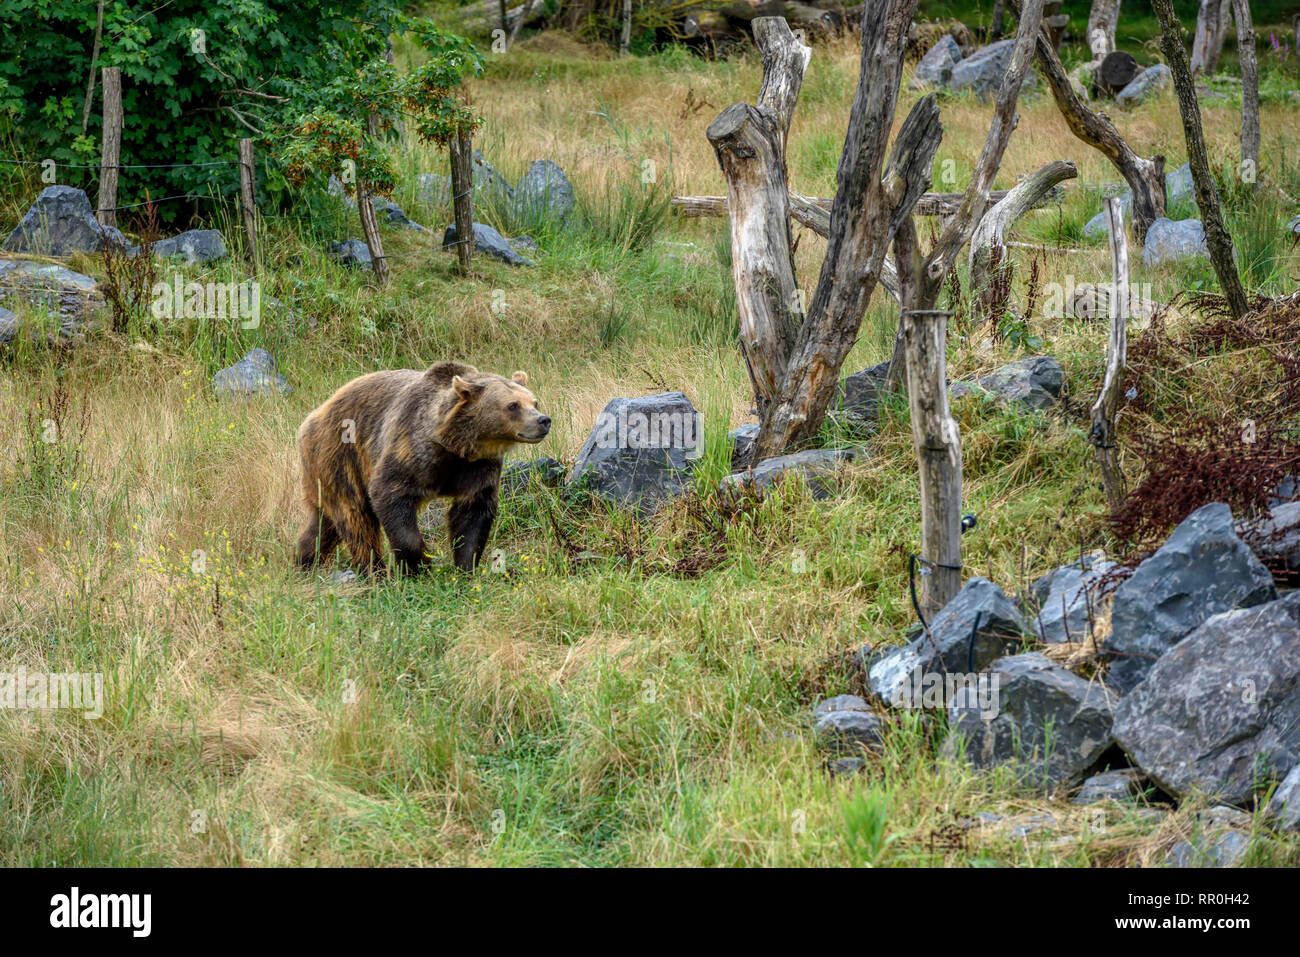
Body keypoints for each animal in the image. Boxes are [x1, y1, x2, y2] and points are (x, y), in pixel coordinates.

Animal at [295, 361, 548, 574]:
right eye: (512, 405)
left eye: (534, 402)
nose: (543, 420)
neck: (456, 446)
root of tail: (311, 418)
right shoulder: (411, 452)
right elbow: (390, 494)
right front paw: (418, 565)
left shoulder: (478, 467)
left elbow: (473, 512)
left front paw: (466, 566)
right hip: (339, 457)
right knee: (355, 517)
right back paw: (373, 570)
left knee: (324, 523)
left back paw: (304, 559)